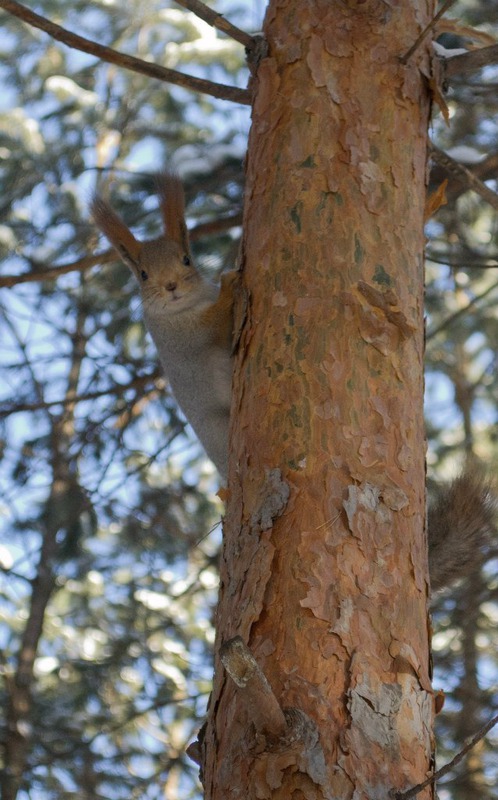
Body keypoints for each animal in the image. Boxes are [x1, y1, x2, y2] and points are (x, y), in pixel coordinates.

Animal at [91, 172, 496, 592]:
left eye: (186, 258)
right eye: (142, 274)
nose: (170, 286)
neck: (185, 306)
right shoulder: (180, 338)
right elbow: (213, 323)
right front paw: (230, 283)